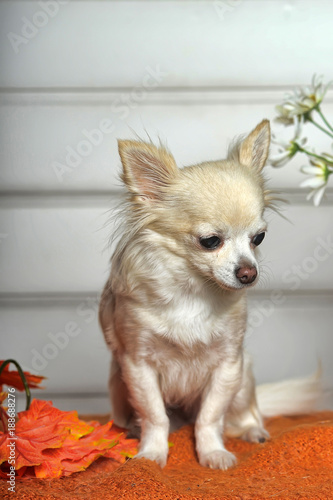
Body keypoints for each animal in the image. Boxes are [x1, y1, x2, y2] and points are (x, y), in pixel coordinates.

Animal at [98, 120, 320, 468]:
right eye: (210, 241)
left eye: (259, 237)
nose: (249, 273)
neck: (193, 291)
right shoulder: (137, 366)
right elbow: (155, 416)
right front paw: (151, 454)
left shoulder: (228, 365)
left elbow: (210, 417)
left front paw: (213, 453)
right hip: (118, 388)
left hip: (243, 380)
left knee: (246, 413)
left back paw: (252, 431)